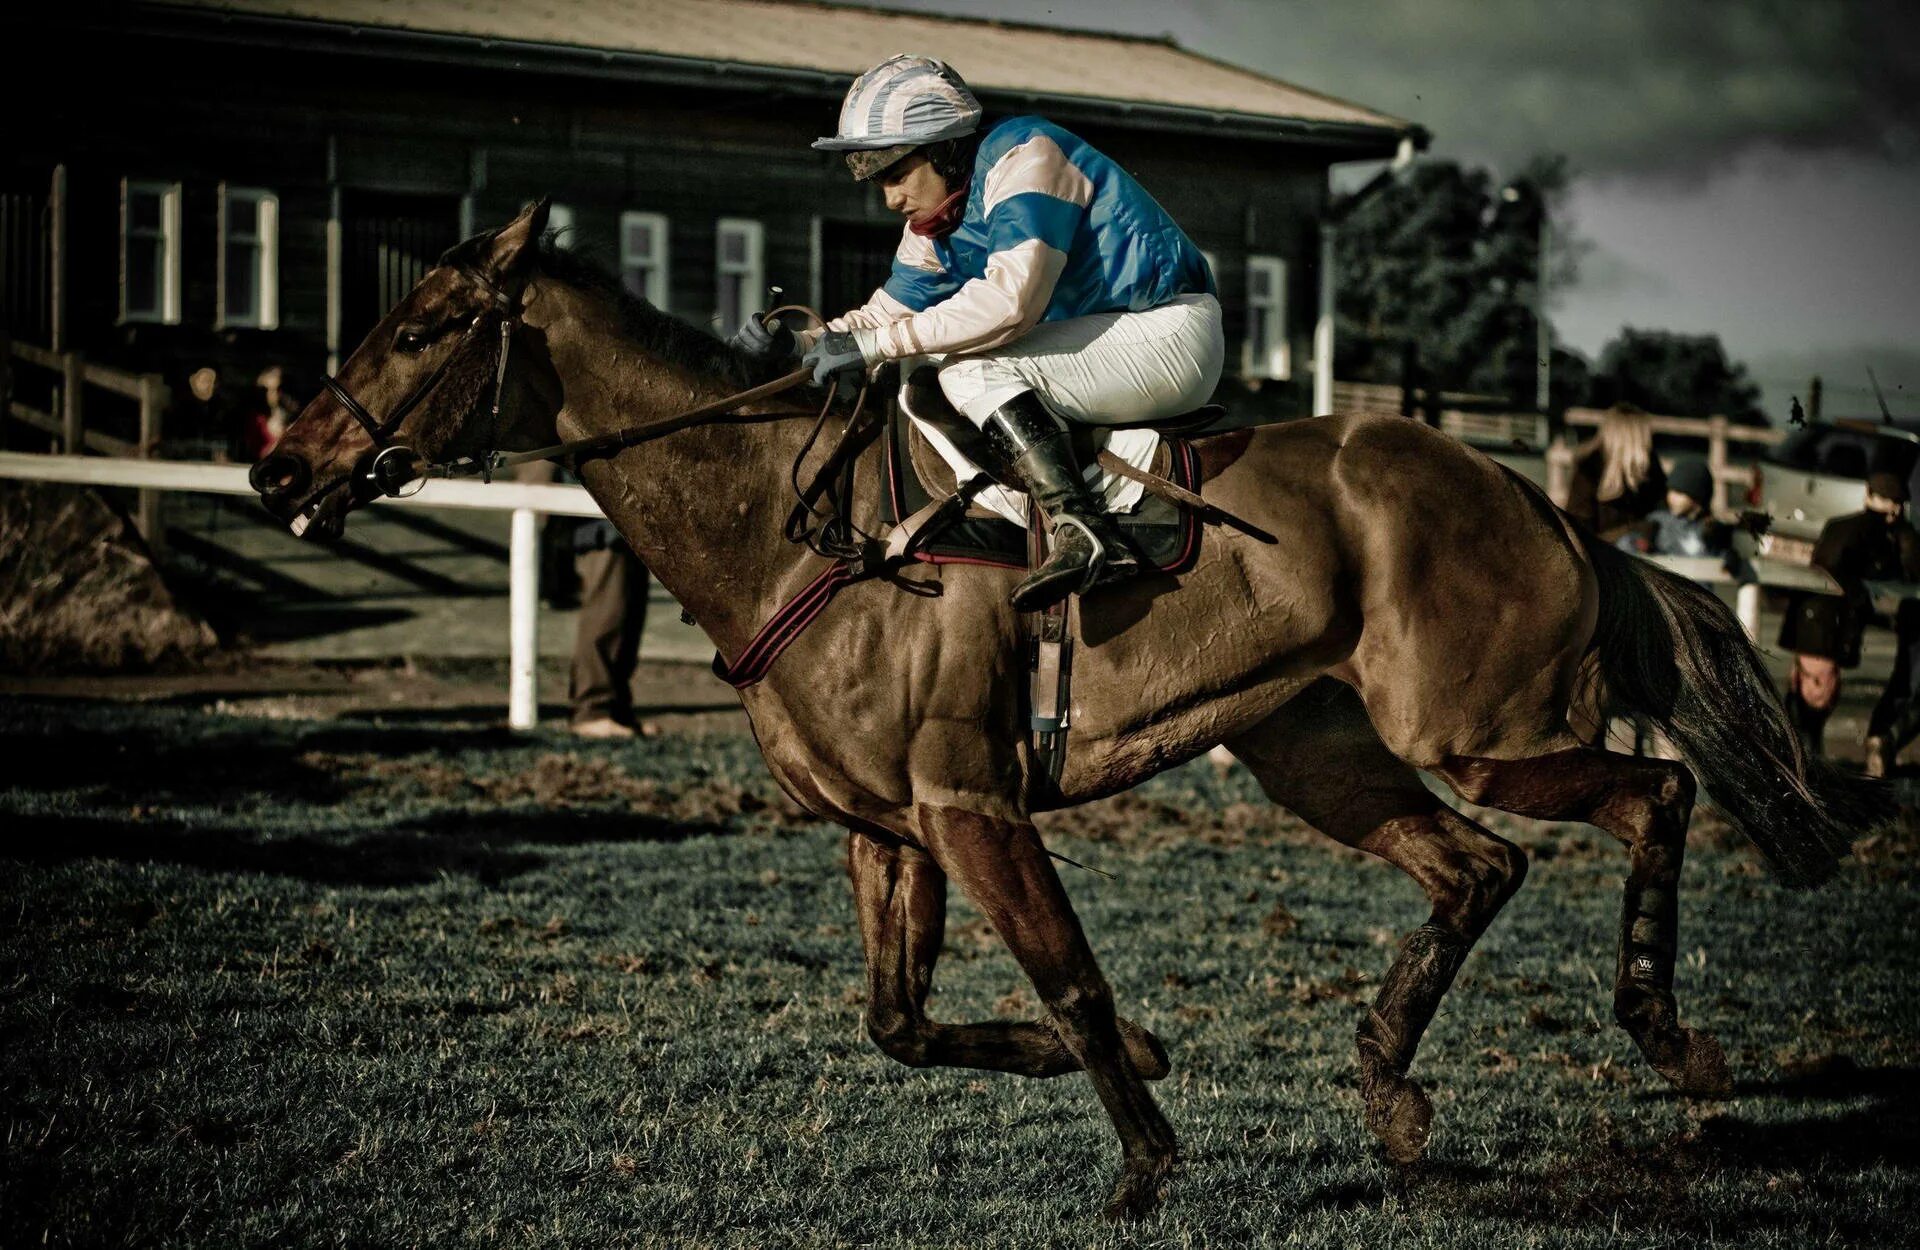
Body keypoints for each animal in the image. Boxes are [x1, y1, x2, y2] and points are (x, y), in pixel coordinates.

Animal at [255, 207, 1889, 1221]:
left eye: (428, 326)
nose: (280, 468)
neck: (799, 527)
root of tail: (1548, 502)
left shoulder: (974, 808)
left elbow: (1074, 981)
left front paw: (1148, 1155)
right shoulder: (888, 832)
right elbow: (901, 1023)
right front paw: (1151, 1068)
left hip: (1479, 728)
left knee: (1650, 795)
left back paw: (1668, 1036)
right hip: (1318, 750)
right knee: (1478, 866)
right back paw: (1392, 1090)